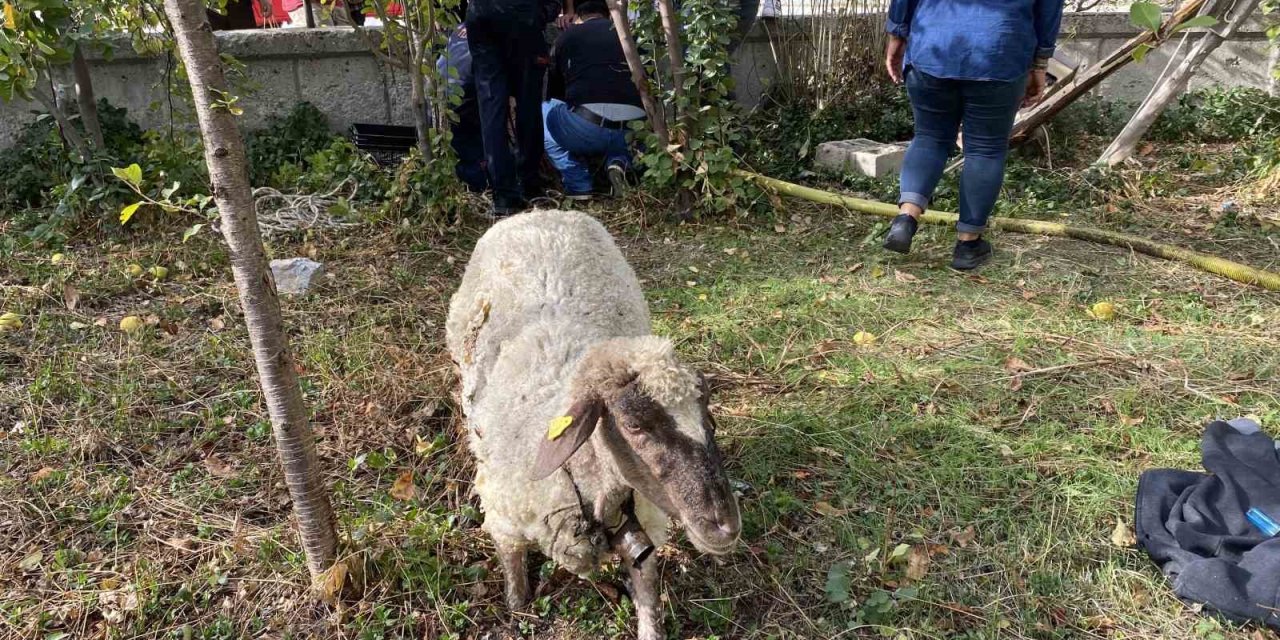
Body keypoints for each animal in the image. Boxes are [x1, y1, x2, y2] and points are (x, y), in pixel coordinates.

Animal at [448, 207, 742, 637]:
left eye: (710, 417)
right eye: (634, 426)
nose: (725, 527)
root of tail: (540, 211)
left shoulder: (644, 528)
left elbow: (648, 600)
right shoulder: (504, 519)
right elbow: (516, 587)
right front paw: (516, 610)